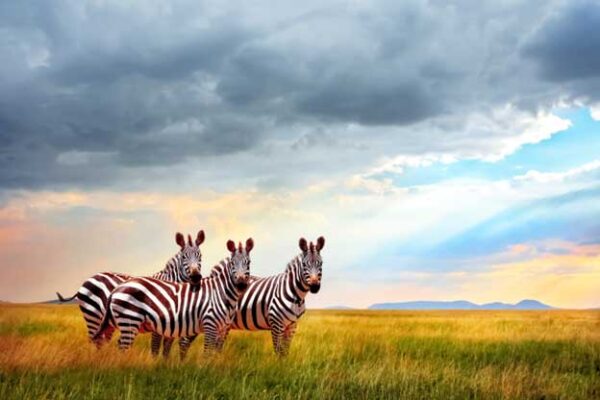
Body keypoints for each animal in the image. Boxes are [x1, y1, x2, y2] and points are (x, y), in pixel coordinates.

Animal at [56, 230, 206, 358]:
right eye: (183, 257)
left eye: (200, 256)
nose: (196, 277)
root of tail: (89, 278)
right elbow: (156, 346)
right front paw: (156, 364)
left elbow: (167, 347)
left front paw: (166, 364)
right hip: (93, 316)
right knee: (95, 340)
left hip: (108, 322)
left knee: (101, 341)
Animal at [93, 238, 253, 354]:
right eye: (232, 263)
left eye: (249, 263)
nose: (241, 285)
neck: (222, 293)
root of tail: (116, 289)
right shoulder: (210, 325)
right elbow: (207, 353)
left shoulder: (221, 328)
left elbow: (215, 353)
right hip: (128, 320)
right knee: (121, 346)